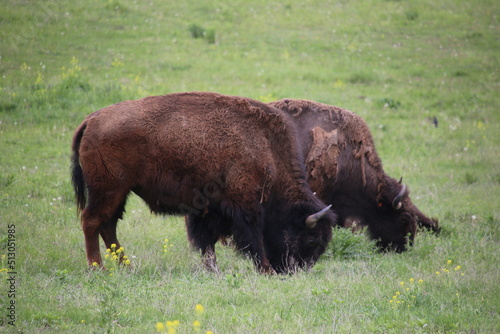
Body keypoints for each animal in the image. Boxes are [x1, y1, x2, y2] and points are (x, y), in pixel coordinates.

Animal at [71, 91, 336, 274]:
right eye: (311, 240)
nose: (293, 271)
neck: (268, 149)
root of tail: (91, 120)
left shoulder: (208, 210)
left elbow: (206, 242)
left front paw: (212, 269)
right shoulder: (245, 207)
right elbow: (252, 239)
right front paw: (265, 269)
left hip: (119, 193)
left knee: (108, 226)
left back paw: (127, 267)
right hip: (107, 190)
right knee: (92, 221)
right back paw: (97, 268)